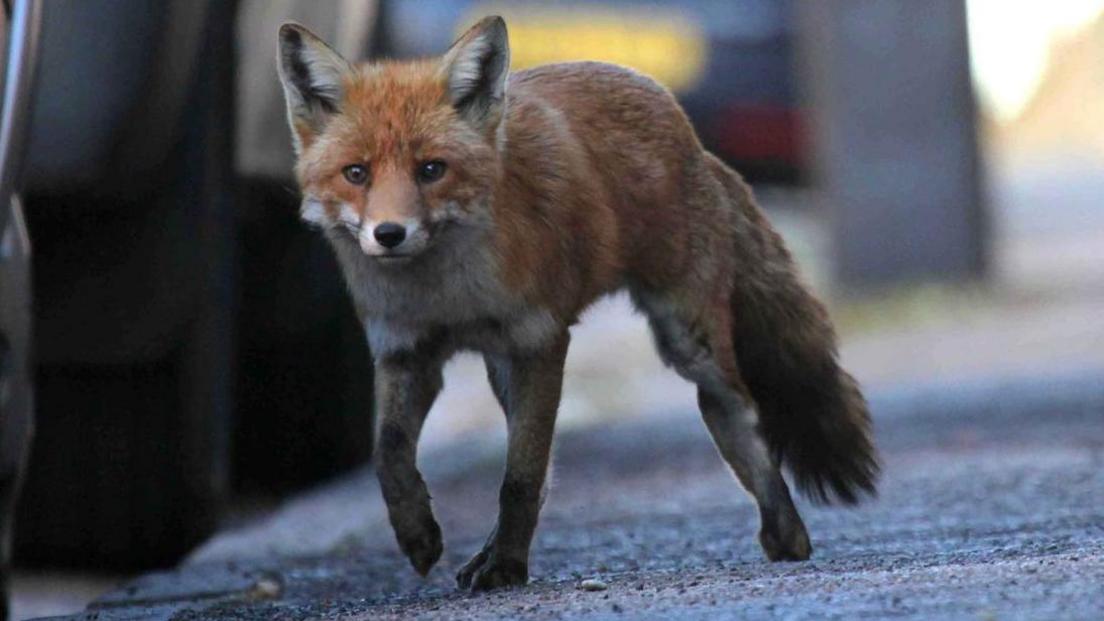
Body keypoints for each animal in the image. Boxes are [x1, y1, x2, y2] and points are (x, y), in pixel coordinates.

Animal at [278, 15, 878, 587]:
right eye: (356, 173)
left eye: (432, 169)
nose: (389, 234)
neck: (448, 297)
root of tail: (693, 138)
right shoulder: (407, 353)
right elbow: (390, 456)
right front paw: (417, 533)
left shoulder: (540, 342)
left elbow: (519, 477)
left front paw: (507, 569)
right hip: (507, 370)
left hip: (688, 344)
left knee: (741, 420)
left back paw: (787, 532)